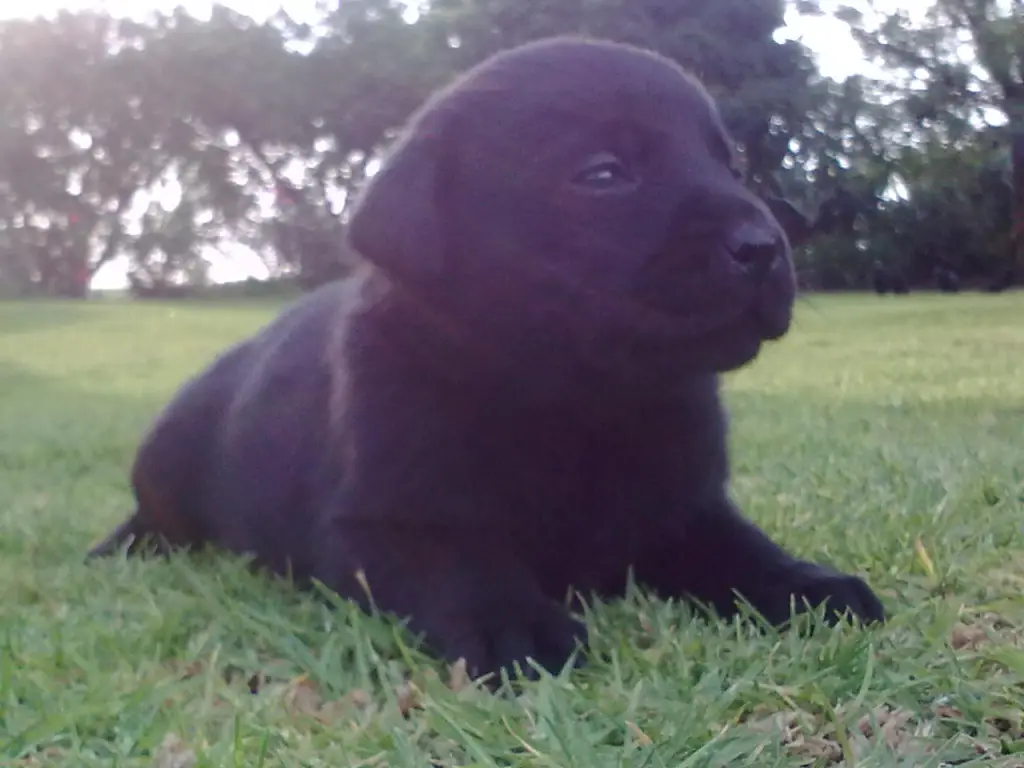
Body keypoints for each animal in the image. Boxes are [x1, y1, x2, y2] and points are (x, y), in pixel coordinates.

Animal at [88, 37, 884, 684]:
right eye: (603, 173)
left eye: (732, 164)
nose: (764, 245)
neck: (577, 401)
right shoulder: (380, 524)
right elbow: (459, 564)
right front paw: (512, 623)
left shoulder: (685, 507)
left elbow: (741, 550)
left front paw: (808, 584)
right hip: (169, 460)